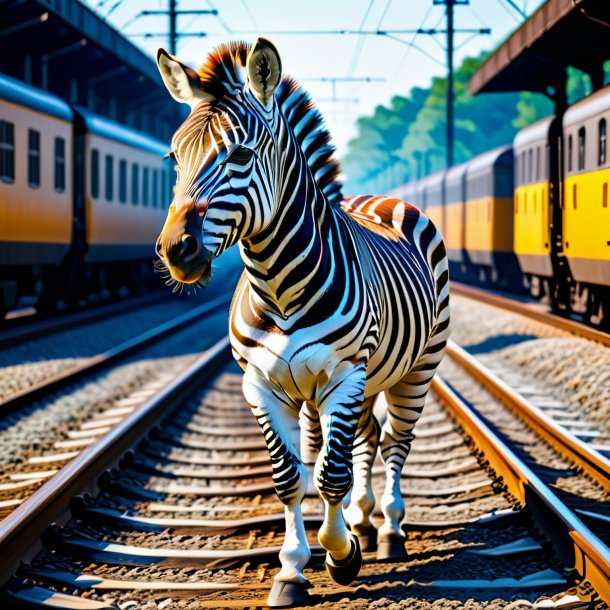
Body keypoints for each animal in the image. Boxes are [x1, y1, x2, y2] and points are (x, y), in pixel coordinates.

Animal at [154, 39, 448, 608]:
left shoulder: (345, 376)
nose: (177, 250)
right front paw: (292, 568)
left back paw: (388, 530)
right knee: (365, 440)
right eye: (174, 158)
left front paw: (340, 553)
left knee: (394, 443)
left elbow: (329, 474)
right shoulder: (260, 383)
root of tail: (377, 199)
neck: (278, 287)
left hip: (414, 369)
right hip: (357, 382)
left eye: (240, 155)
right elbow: (292, 476)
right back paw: (363, 520)